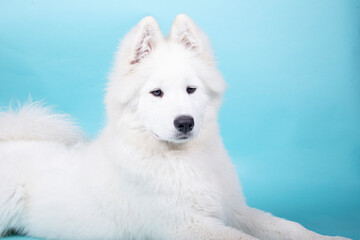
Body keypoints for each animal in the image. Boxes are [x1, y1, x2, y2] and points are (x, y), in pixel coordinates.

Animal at [0, 14, 350, 240]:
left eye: (191, 89)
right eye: (156, 93)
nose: (184, 122)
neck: (183, 161)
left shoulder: (232, 209)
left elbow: (288, 226)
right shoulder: (185, 226)